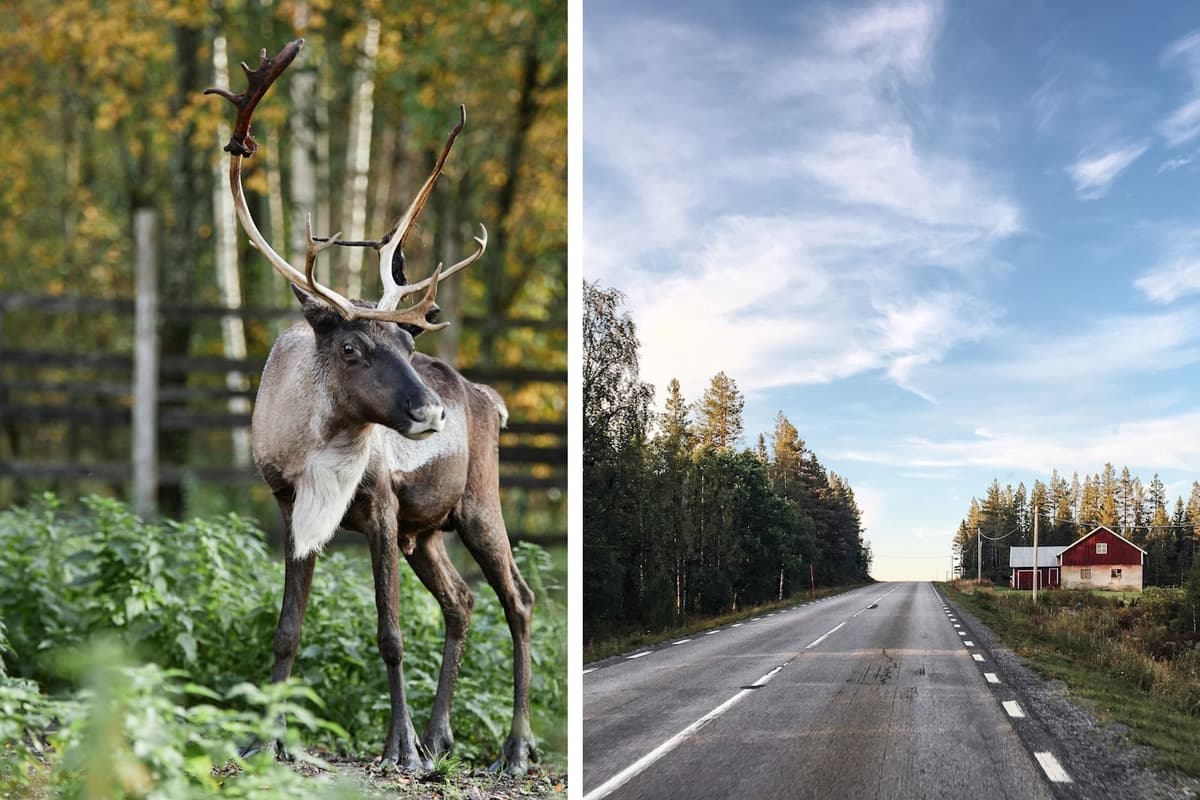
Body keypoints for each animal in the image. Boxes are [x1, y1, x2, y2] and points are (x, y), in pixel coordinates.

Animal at [204, 39, 537, 774]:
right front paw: (264, 741)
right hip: (427, 532)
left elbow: (389, 633)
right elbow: (287, 630)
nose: (431, 414)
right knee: (462, 601)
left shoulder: (382, 505)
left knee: (519, 600)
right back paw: (443, 735)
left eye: (407, 343)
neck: (314, 442)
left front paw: (400, 750)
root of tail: (491, 401)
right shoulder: (291, 507)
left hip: (477, 505)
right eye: (352, 346)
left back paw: (513, 748)